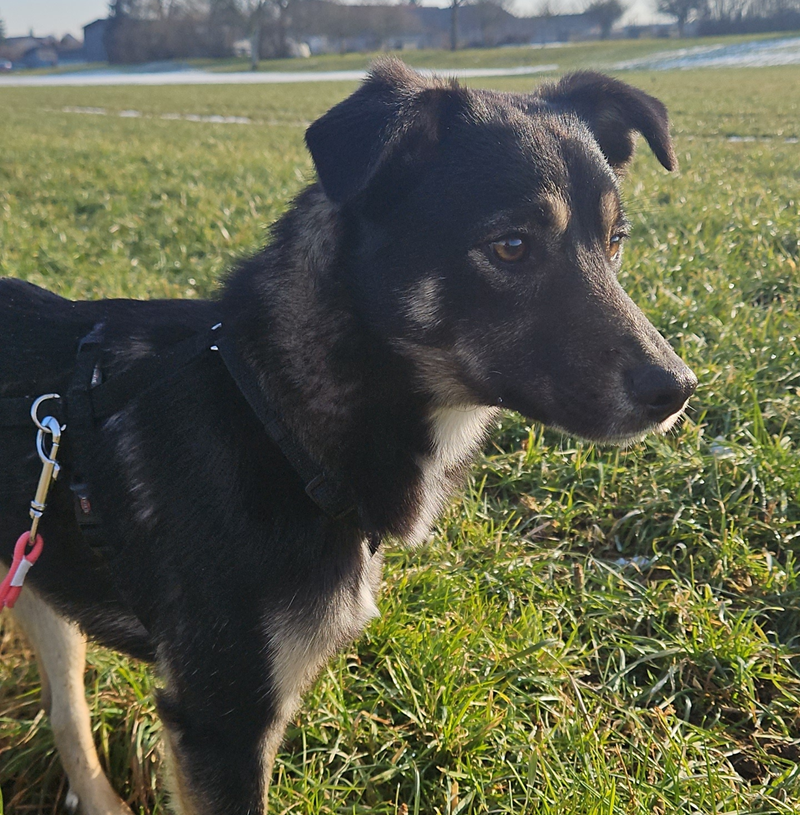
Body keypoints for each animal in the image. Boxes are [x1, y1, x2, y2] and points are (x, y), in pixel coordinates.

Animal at [0, 59, 696, 813]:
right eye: (511, 246)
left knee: (66, 715)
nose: (677, 389)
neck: (272, 414)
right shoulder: (220, 721)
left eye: (615, 240)